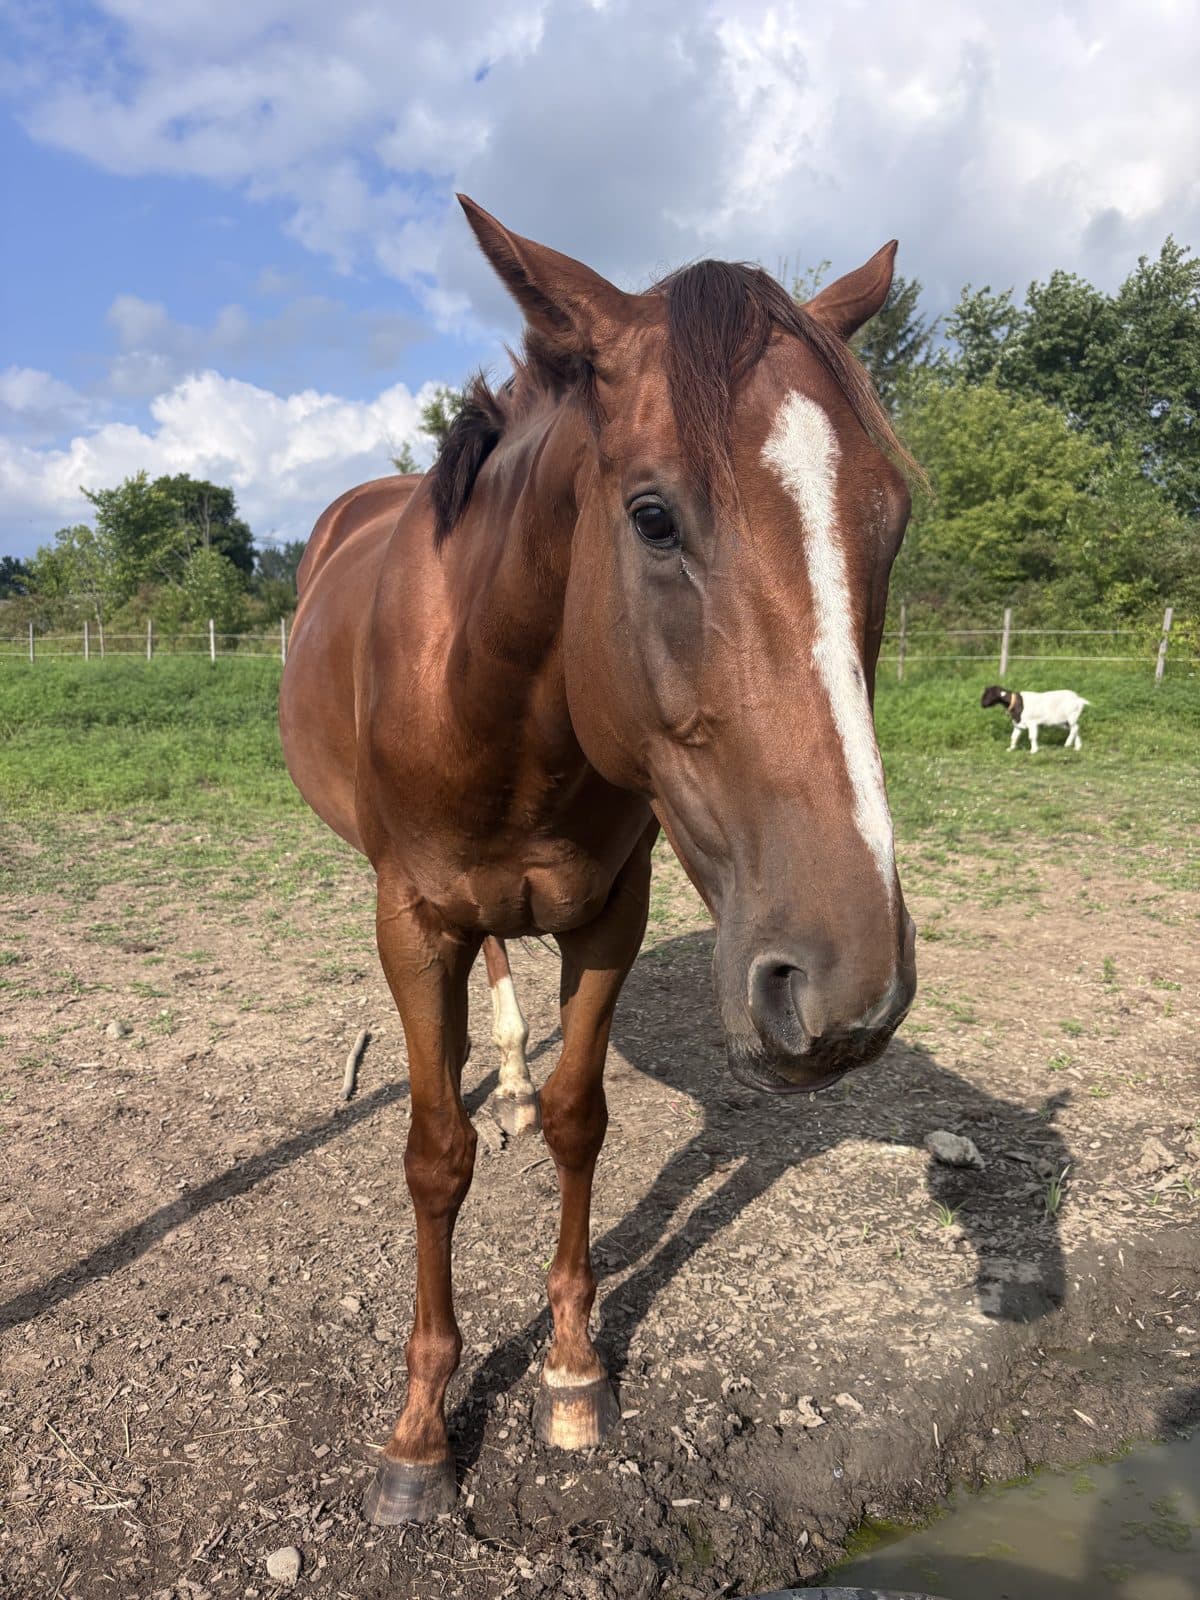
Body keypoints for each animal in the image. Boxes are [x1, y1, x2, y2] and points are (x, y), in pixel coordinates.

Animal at [279, 195, 919, 1524]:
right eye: (654, 515)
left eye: (889, 518)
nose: (850, 986)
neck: (499, 697)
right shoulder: (412, 919)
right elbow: (435, 1156)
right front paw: (421, 1428)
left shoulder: (610, 913)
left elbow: (583, 1122)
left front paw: (574, 1372)